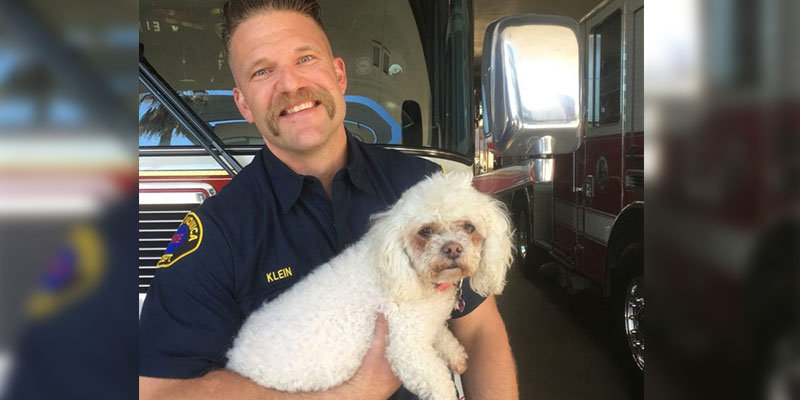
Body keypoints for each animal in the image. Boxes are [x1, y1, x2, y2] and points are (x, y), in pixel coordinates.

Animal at [226, 172, 514, 400]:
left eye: (469, 227)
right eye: (426, 231)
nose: (452, 248)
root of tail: (234, 357)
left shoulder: (426, 324)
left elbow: (441, 334)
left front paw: (455, 355)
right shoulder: (407, 348)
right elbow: (440, 384)